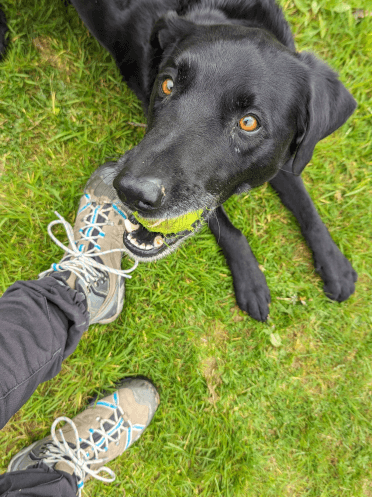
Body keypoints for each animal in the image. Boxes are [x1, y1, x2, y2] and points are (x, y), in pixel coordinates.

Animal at [1, 0, 358, 322]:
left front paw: (334, 263)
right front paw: (250, 278)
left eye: (249, 122)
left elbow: (303, 200)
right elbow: (225, 225)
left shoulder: (286, 153)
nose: (129, 191)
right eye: (167, 84)